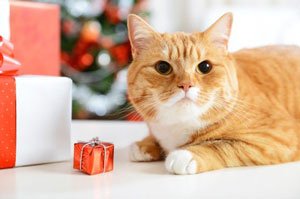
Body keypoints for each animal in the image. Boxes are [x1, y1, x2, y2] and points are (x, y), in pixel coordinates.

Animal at [126, 12, 300, 174]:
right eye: (162, 67)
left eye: (205, 67)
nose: (186, 84)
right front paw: (144, 144)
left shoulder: (277, 137)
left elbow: (220, 145)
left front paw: (186, 154)